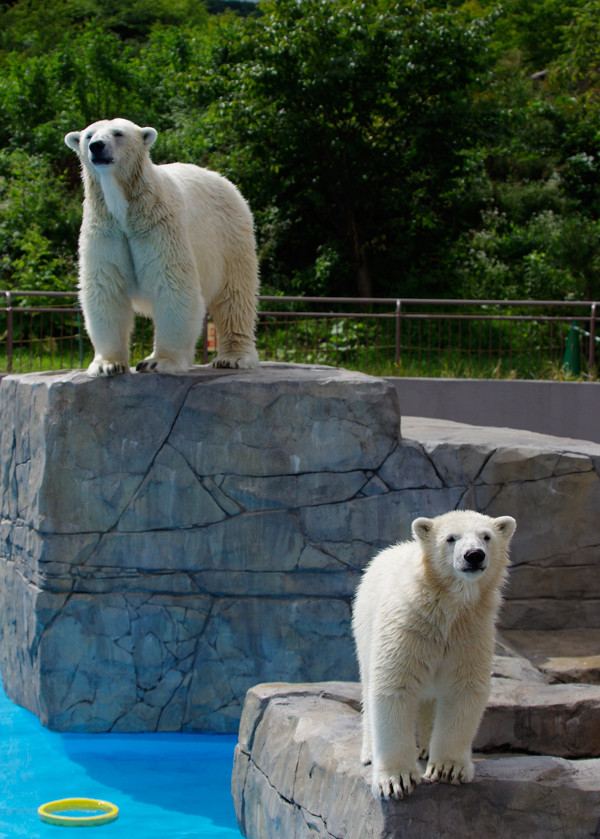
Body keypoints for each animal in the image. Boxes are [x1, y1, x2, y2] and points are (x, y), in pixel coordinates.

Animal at [64, 118, 258, 378]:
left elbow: (171, 284)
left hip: (230, 236)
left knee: (234, 295)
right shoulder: (106, 231)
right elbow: (105, 287)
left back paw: (233, 358)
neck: (125, 208)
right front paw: (108, 364)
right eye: (88, 136)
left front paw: (158, 362)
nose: (97, 147)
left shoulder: (160, 226)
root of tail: (225, 181)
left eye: (118, 133)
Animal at [352, 512, 516, 800]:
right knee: (369, 684)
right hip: (364, 623)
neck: (444, 607)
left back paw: (426, 746)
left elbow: (464, 688)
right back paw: (370, 752)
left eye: (486, 536)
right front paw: (396, 780)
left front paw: (448, 769)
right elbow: (394, 687)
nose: (474, 555)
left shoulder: (470, 633)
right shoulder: (407, 626)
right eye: (451, 538)